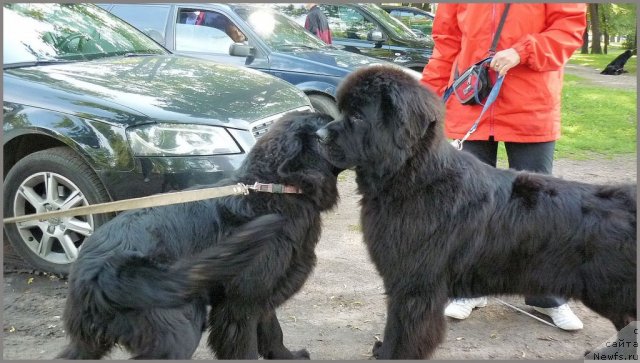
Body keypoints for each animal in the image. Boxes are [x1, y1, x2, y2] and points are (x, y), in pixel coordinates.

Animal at [57, 111, 342, 362]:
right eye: (328, 125)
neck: (276, 190)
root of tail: (98, 272)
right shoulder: (239, 306)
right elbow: (247, 347)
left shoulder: (264, 294)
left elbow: (274, 333)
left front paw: (287, 356)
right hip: (179, 328)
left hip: (89, 342)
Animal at [316, 66, 636, 362]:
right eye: (341, 111)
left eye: (358, 117)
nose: (318, 135)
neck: (413, 178)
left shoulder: (414, 285)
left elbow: (402, 331)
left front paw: (391, 354)